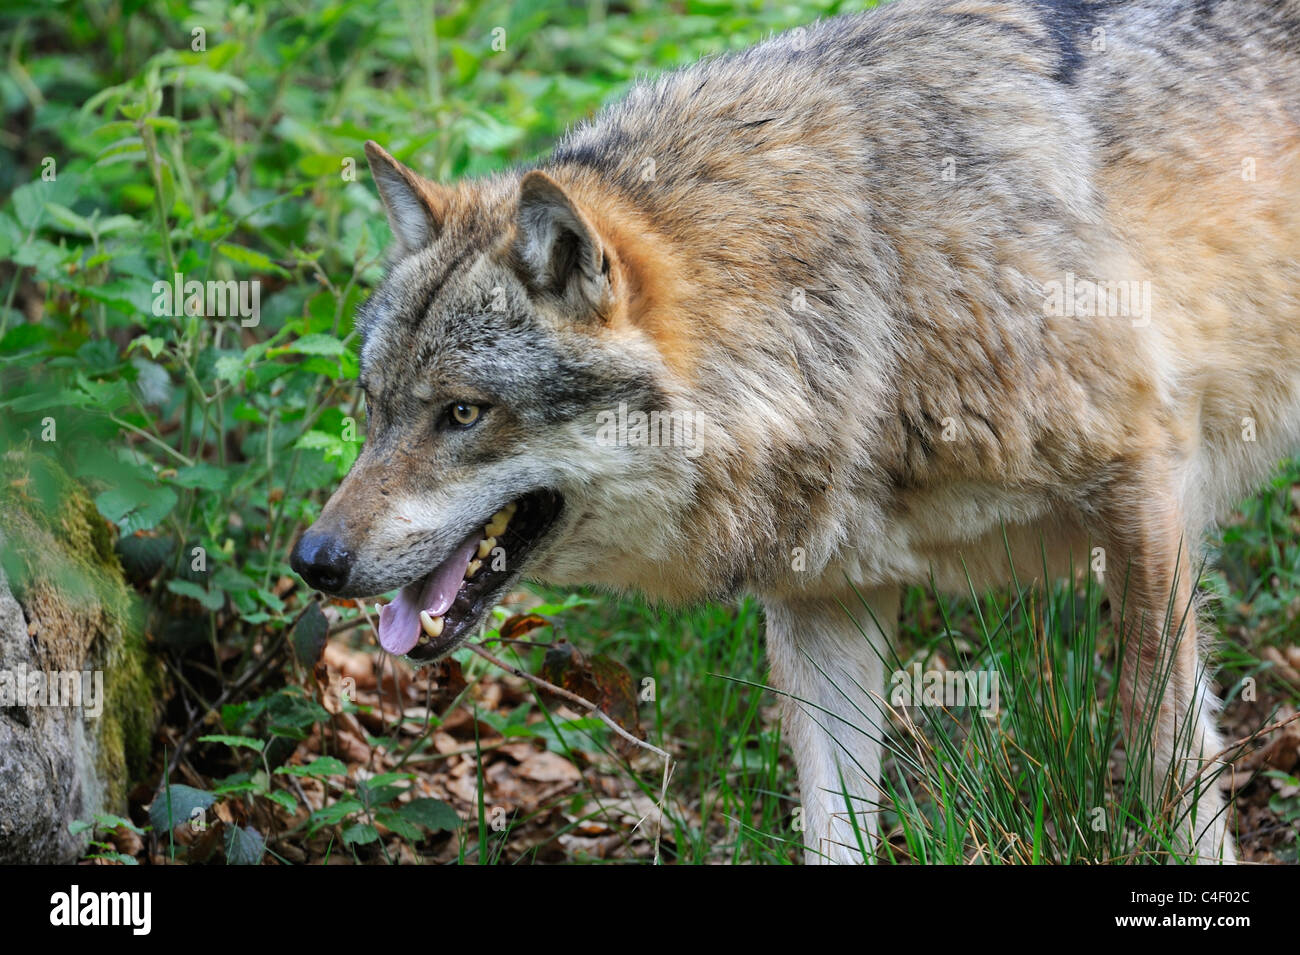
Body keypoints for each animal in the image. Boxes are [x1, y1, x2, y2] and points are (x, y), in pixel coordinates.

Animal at [292, 0, 1300, 867]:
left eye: (462, 412)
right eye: (374, 405)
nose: (312, 560)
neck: (881, 288)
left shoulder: (1146, 494)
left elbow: (1168, 753)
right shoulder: (827, 598)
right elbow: (833, 819)